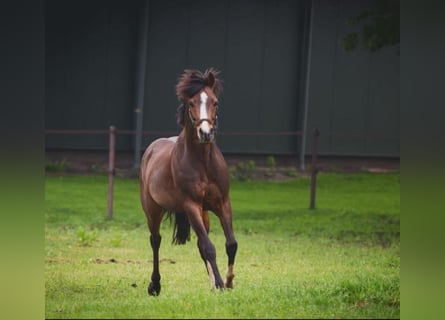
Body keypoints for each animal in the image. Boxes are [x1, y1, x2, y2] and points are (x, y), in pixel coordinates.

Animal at [139, 67, 238, 296]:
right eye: (191, 103)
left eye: (215, 102)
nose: (205, 133)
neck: (203, 163)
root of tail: (151, 150)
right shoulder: (191, 205)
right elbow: (210, 247)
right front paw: (221, 285)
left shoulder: (222, 204)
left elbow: (230, 244)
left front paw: (228, 281)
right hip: (153, 211)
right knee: (155, 241)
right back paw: (155, 285)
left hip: (204, 214)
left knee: (201, 244)